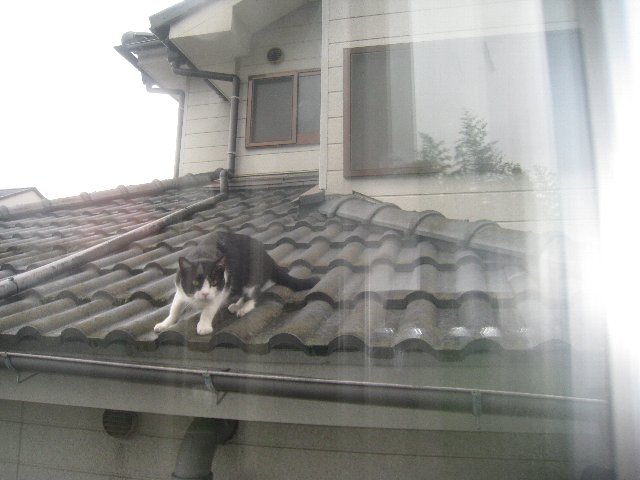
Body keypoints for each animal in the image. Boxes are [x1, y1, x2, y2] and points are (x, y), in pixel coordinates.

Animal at [153, 231, 319, 335]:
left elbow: (209, 310)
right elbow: (174, 308)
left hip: (251, 277)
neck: (202, 256)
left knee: (255, 295)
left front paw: (204, 325)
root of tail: (267, 256)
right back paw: (237, 304)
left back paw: (244, 308)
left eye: (214, 281)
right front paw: (165, 323)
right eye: (194, 282)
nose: (205, 293)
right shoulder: (180, 289)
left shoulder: (221, 289)